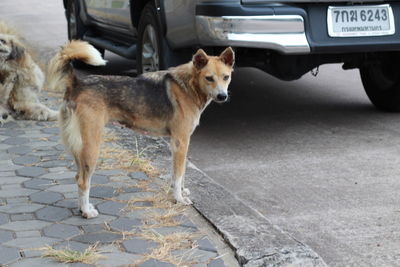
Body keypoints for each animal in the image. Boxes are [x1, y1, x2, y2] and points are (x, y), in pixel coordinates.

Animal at [47, 40, 234, 219]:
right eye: (209, 78)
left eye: (226, 77)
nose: (222, 96)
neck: (188, 85)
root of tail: (77, 83)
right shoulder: (180, 142)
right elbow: (178, 174)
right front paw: (179, 198)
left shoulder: (182, 143)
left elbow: (180, 174)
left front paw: (182, 191)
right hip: (91, 146)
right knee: (83, 182)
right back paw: (87, 211)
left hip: (79, 147)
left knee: (77, 177)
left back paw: (83, 208)